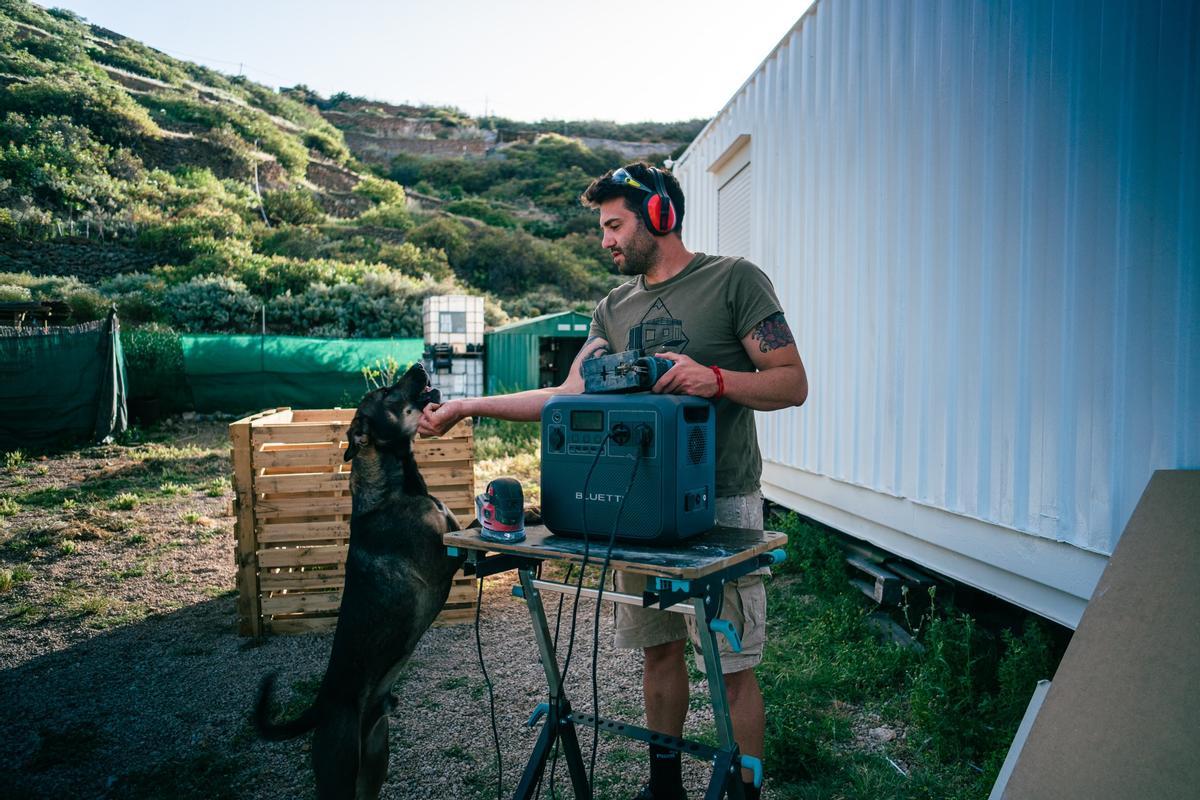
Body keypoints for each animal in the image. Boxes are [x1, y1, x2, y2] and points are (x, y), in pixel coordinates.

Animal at [255, 364, 465, 800]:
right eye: (385, 392)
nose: (420, 366)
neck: (397, 488)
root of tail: (321, 704)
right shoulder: (446, 561)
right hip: (338, 771)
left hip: (374, 761)